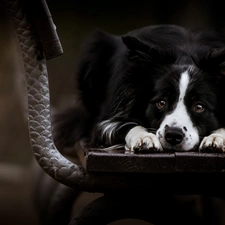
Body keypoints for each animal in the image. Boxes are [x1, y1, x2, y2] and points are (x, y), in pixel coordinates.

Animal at [53, 24, 225, 154]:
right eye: (161, 103)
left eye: (199, 107)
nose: (173, 136)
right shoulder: (105, 121)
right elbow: (126, 125)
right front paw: (144, 138)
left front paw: (216, 138)